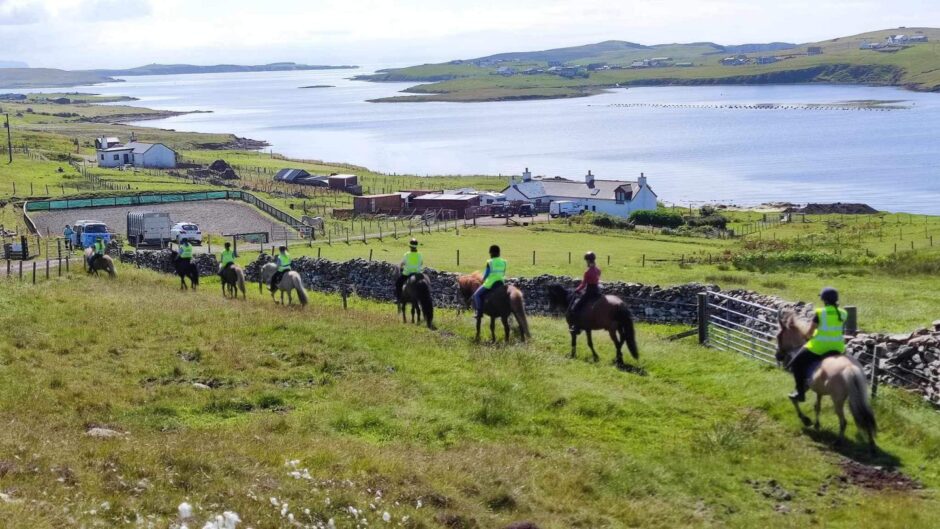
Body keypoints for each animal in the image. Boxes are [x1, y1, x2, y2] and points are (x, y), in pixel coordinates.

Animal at [776, 308, 876, 452]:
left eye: (778, 337)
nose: (777, 356)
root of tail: (850, 368)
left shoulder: (804, 386)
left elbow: (794, 399)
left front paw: (806, 420)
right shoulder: (819, 391)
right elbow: (817, 406)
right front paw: (817, 424)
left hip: (838, 400)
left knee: (844, 421)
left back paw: (838, 442)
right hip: (860, 396)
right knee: (866, 416)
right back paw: (872, 445)